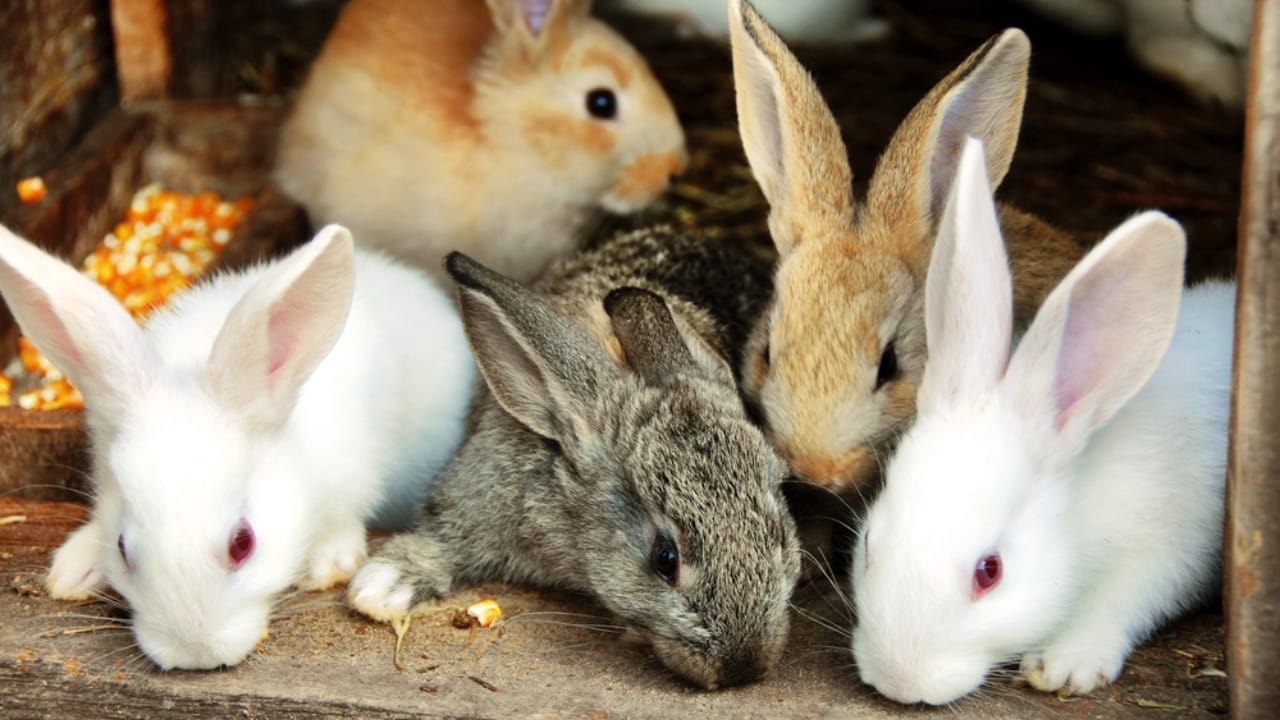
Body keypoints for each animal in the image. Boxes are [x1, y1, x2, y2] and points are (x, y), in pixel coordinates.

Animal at [850, 136, 1234, 704]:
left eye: (990, 572)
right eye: (870, 542)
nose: (900, 682)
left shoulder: (1171, 549)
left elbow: (1121, 599)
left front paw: (1064, 665)